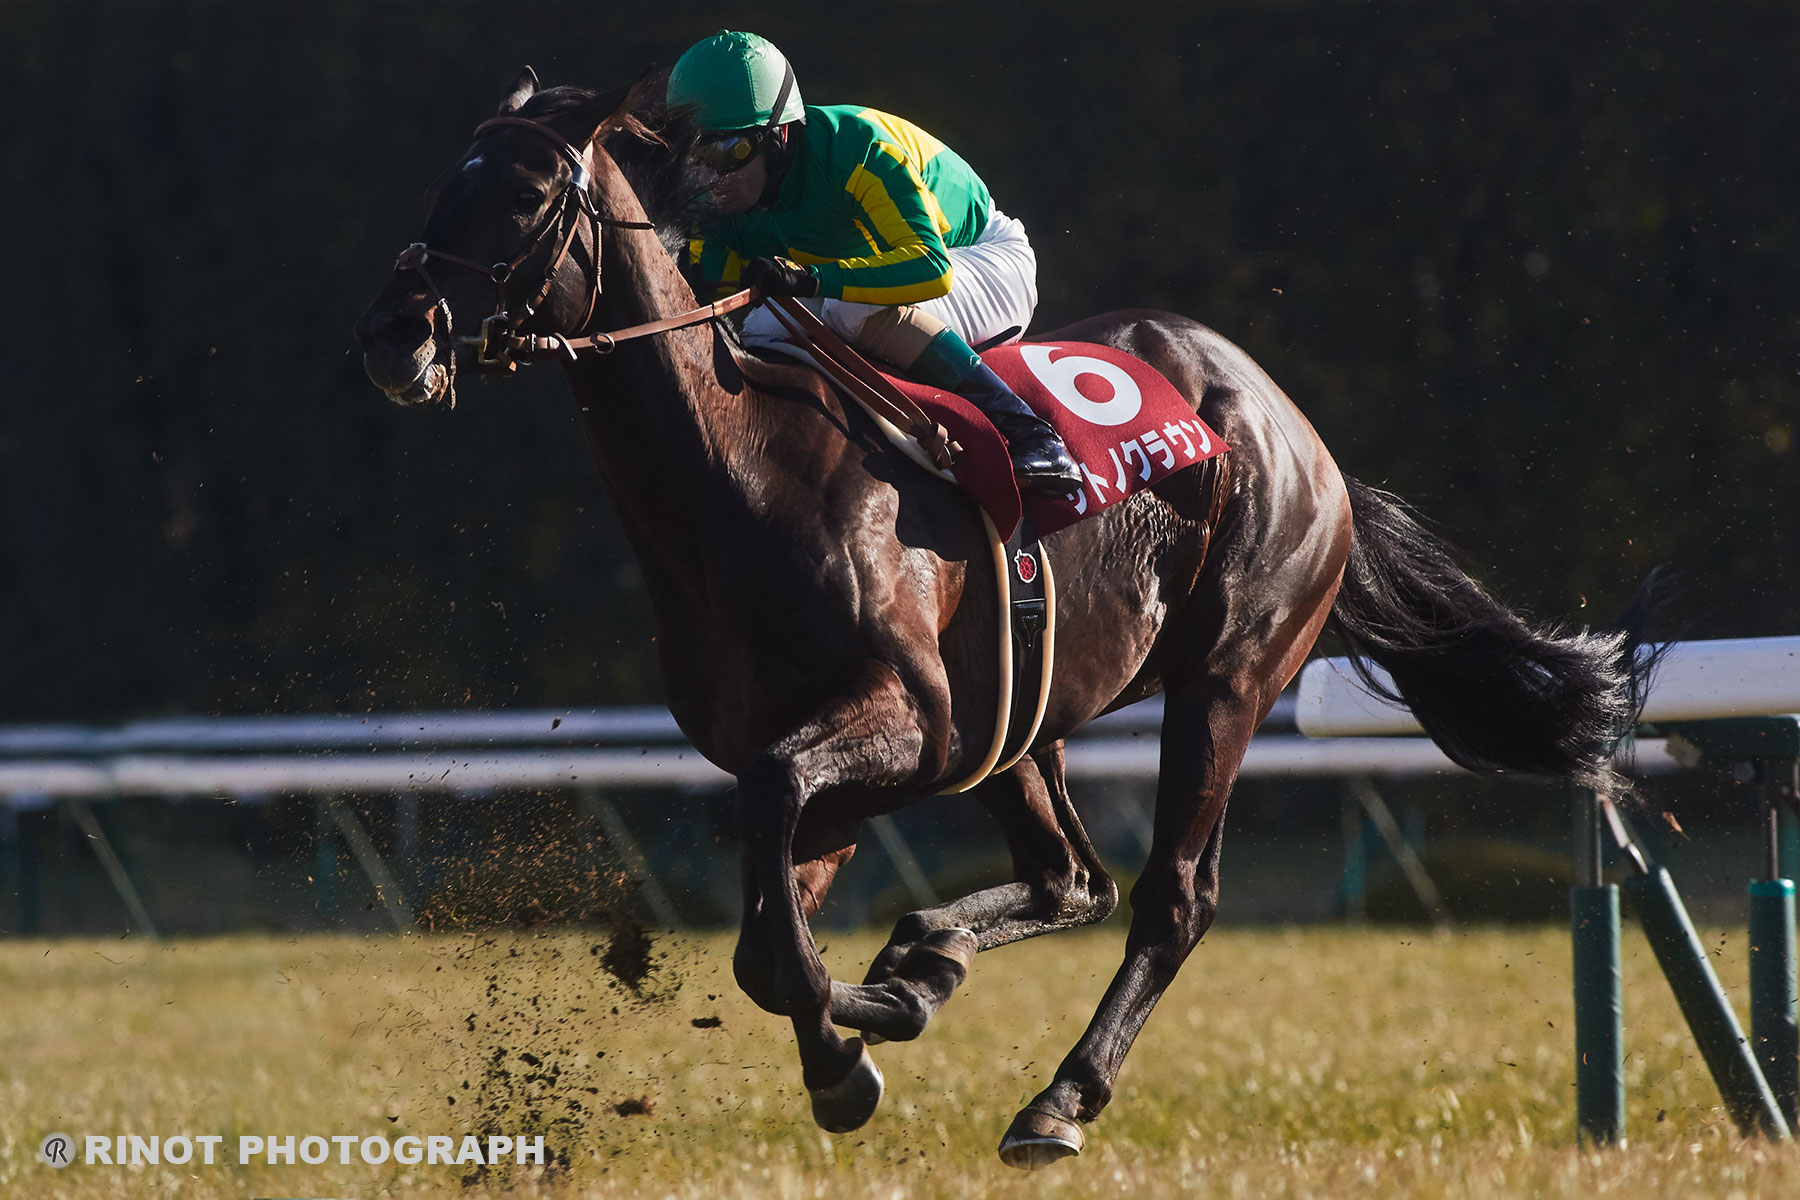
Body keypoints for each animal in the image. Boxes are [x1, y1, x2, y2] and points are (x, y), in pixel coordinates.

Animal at [355, 71, 1642, 1169]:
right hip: (1030, 720)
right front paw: (877, 1007)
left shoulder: (907, 723)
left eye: (526, 192)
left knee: (1171, 900)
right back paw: (928, 962)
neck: (743, 478)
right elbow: (767, 942)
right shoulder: (861, 758)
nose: (397, 333)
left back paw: (1057, 1099)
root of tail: (1299, 435)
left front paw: (854, 1049)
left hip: (1226, 675)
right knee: (1073, 878)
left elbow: (779, 879)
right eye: (444, 179)